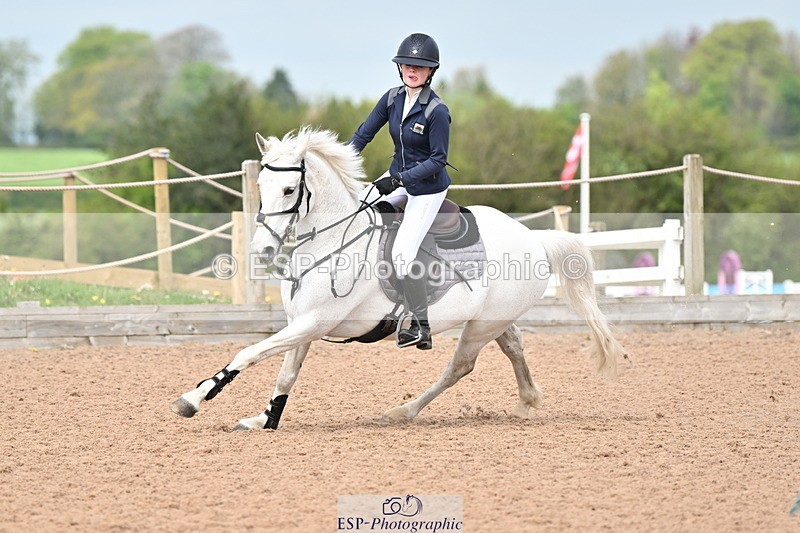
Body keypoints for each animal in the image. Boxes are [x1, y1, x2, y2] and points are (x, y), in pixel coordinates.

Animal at [171, 126, 626, 430]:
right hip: (492, 319)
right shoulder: (302, 324)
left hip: (479, 327)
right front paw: (265, 419)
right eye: (261, 185)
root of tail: (533, 235)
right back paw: (528, 398)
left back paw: (402, 411)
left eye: (288, 190)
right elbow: (285, 372)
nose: (263, 252)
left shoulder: (313, 322)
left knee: (460, 366)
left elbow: (249, 352)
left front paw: (193, 399)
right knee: (513, 346)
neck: (330, 241)